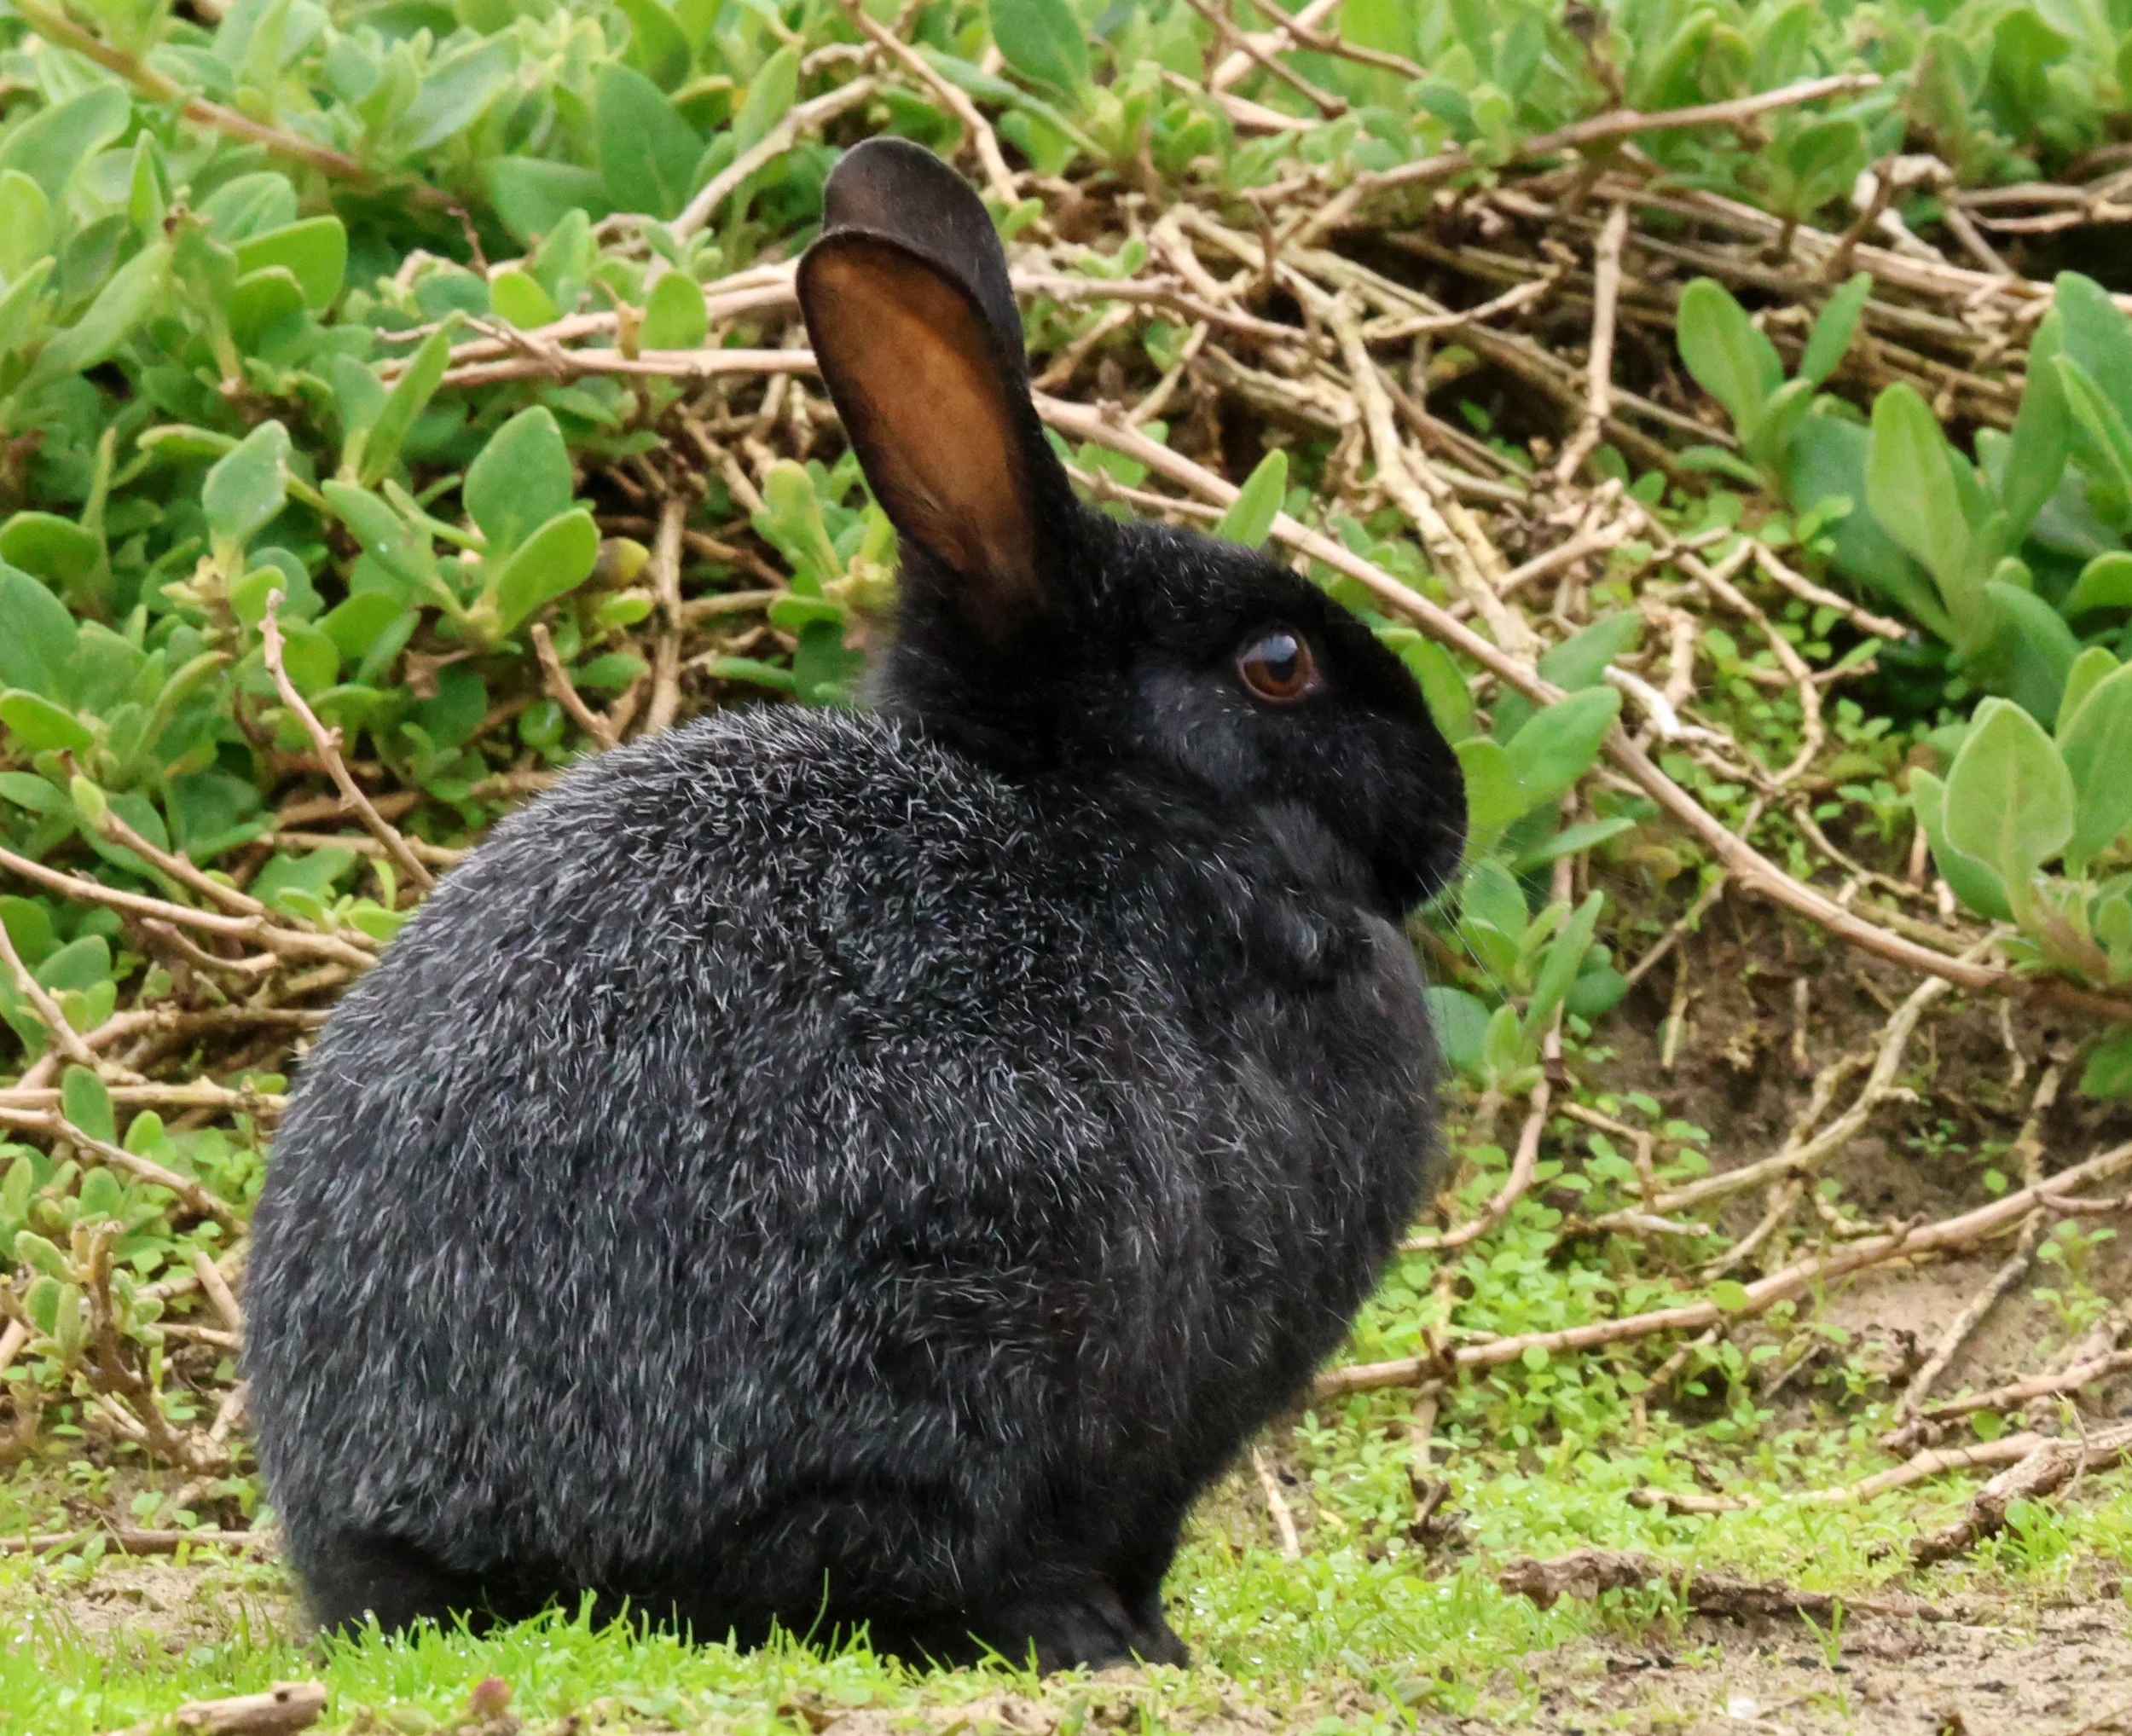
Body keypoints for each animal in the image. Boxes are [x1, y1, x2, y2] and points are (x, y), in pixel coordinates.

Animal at [242, 134, 1465, 1674]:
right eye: (1280, 664)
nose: (1449, 818)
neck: (1128, 817)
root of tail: (420, 1549)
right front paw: (1149, 1646)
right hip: (950, 1354)